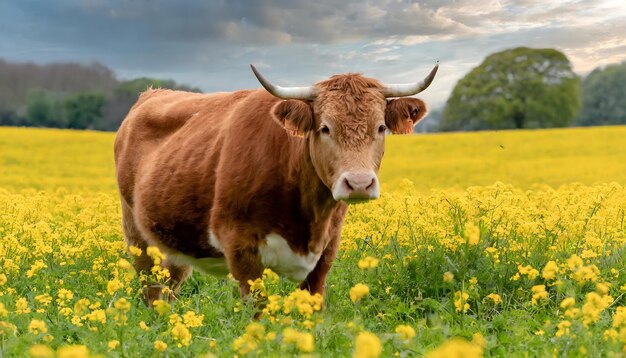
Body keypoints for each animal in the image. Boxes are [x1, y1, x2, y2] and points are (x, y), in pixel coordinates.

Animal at [113, 63, 434, 302]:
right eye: (325, 128)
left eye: (380, 127)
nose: (358, 183)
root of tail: (153, 93)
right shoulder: (240, 248)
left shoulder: (325, 253)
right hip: (137, 236)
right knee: (151, 289)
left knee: (170, 285)